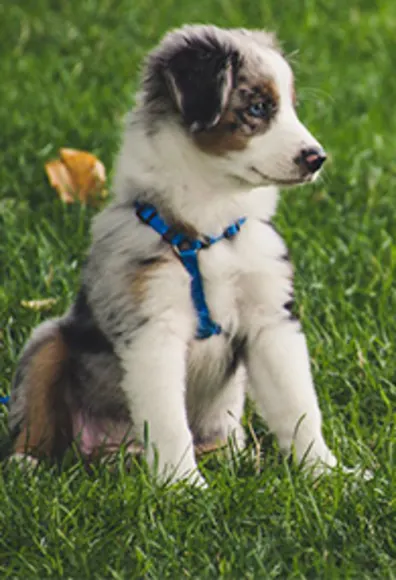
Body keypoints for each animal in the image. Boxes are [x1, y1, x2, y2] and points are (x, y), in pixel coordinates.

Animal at [10, 23, 342, 484]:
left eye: (291, 109)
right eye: (258, 107)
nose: (317, 158)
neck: (210, 226)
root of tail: (108, 452)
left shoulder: (271, 320)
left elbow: (299, 406)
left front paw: (330, 475)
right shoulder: (153, 326)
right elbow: (168, 420)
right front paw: (184, 487)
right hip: (48, 339)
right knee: (36, 408)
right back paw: (27, 463)